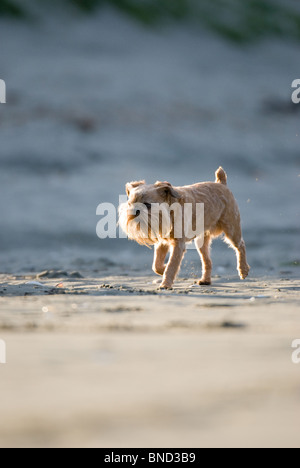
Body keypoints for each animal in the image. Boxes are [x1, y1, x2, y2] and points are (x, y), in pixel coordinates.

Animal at [118, 168, 250, 288]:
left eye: (147, 205)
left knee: (240, 245)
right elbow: (156, 265)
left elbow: (171, 265)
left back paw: (243, 270)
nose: (133, 212)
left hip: (232, 229)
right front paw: (163, 270)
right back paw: (205, 280)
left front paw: (165, 284)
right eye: (129, 204)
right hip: (201, 242)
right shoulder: (162, 243)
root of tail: (221, 183)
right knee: (207, 261)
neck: (168, 211)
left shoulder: (178, 245)